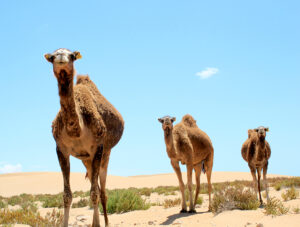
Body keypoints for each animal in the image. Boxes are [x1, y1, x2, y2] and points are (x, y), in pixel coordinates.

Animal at [44, 48, 124, 227]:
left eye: (72, 55)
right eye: (52, 56)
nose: (61, 57)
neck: (77, 129)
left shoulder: (97, 148)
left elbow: (94, 193)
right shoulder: (61, 150)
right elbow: (67, 195)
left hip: (105, 155)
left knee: (102, 191)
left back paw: (106, 223)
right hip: (85, 159)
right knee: (97, 187)